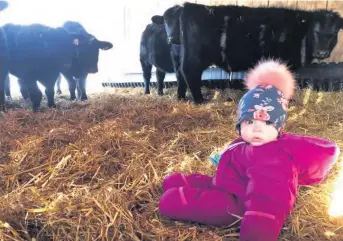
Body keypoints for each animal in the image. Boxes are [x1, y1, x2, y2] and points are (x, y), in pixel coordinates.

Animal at [163, 2, 343, 103]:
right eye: (316, 32)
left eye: (334, 34)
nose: (322, 52)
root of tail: (189, 6)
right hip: (195, 57)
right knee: (189, 72)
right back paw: (199, 100)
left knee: (179, 73)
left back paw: (181, 97)